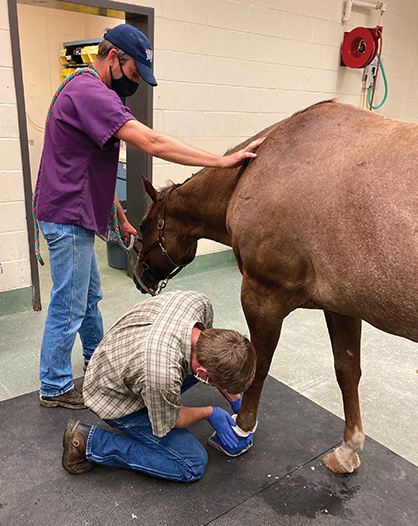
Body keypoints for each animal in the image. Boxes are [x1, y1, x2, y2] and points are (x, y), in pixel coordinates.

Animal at [132, 99, 416, 474]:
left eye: (144, 225)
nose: (139, 276)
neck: (259, 168)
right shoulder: (341, 307)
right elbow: (347, 371)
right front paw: (348, 448)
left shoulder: (262, 295)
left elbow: (259, 364)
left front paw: (240, 429)